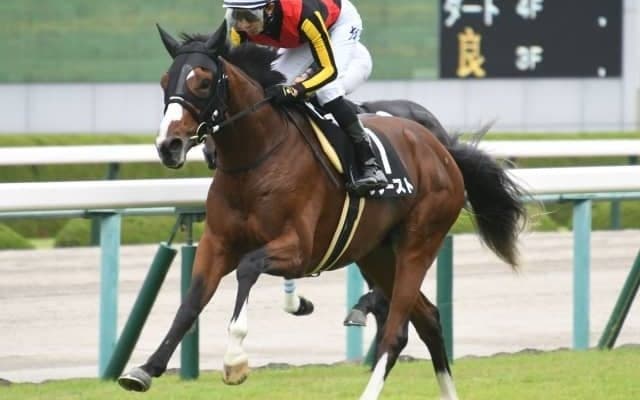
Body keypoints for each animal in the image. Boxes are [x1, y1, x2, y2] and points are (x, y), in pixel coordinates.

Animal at [117, 27, 527, 400]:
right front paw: (145, 369)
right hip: (376, 253)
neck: (257, 159)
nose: (168, 145)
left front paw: (235, 360)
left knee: (396, 331)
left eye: (202, 82)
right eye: (165, 80)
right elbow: (190, 302)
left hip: (419, 243)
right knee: (427, 319)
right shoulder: (216, 244)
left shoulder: (299, 249)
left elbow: (248, 267)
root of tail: (443, 151)